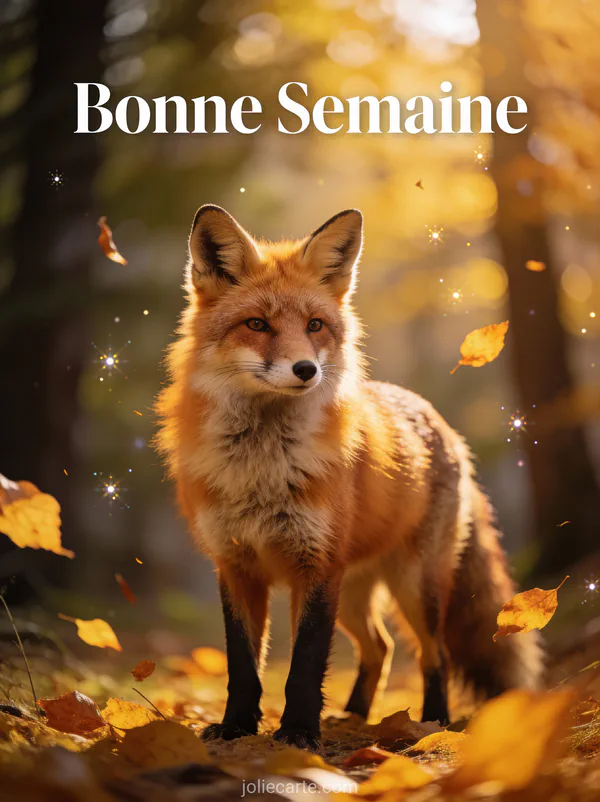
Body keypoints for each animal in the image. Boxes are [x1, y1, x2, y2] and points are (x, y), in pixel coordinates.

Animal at [156, 205, 543, 750]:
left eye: (315, 325)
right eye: (257, 324)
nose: (305, 370)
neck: (262, 469)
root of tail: (441, 423)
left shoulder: (317, 567)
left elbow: (305, 665)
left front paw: (298, 733)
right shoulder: (236, 566)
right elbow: (243, 666)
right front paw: (236, 727)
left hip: (413, 587)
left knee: (435, 653)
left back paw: (431, 724)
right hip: (355, 594)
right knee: (379, 648)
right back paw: (355, 716)